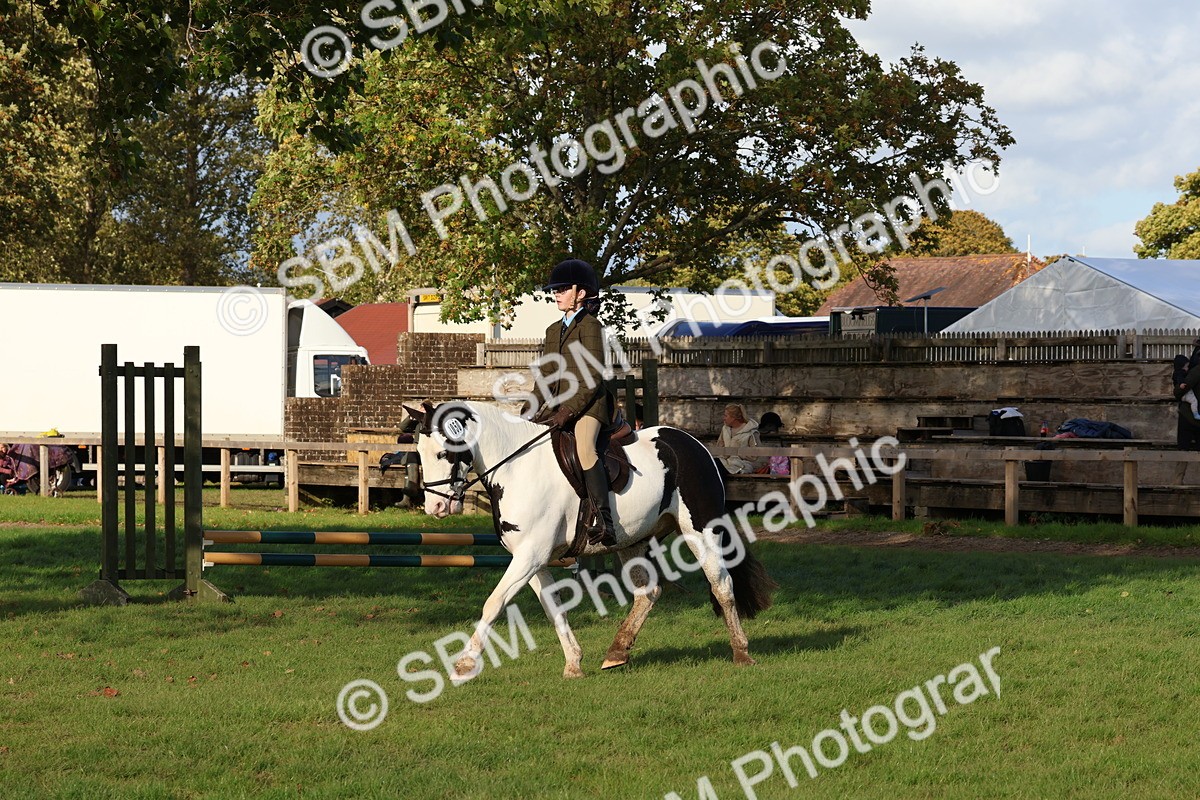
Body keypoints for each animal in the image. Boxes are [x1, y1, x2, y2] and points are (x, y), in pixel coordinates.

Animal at [404, 400, 776, 680]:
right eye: (419, 452)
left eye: (444, 453)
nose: (435, 507)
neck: (516, 468)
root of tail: (696, 445)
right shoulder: (532, 559)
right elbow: (553, 608)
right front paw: (573, 663)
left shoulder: (530, 556)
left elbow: (494, 603)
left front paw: (464, 664)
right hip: (632, 541)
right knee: (648, 592)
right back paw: (617, 651)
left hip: (700, 530)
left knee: (721, 585)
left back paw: (741, 652)